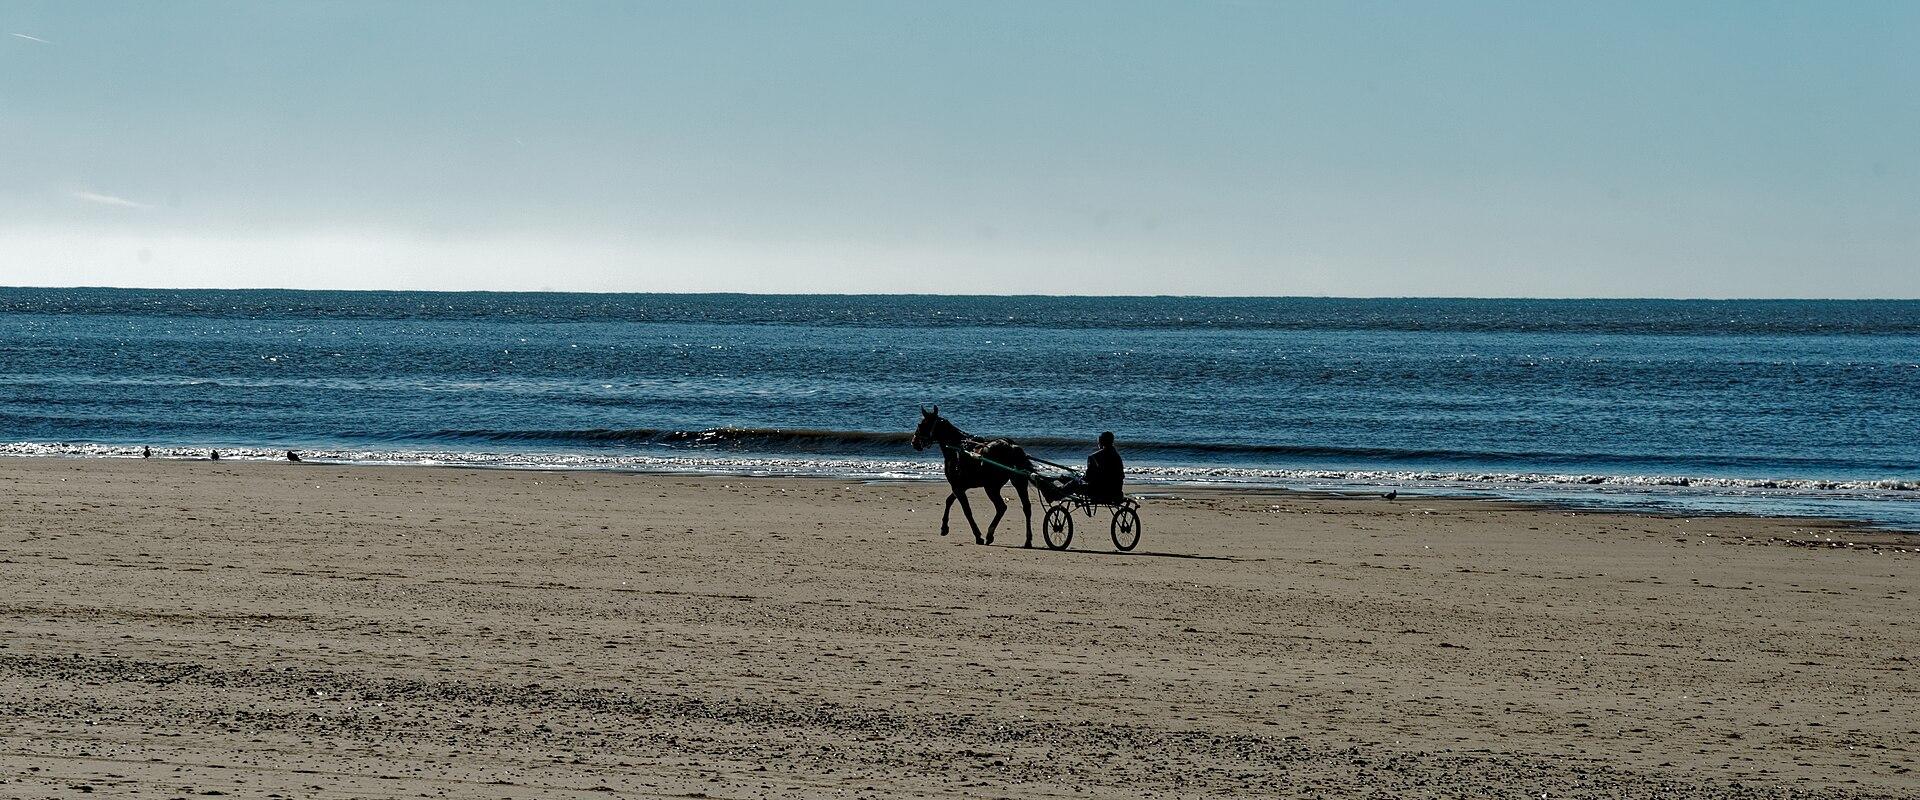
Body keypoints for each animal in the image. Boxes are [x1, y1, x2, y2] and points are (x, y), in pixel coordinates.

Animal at [910, 406, 1036, 547]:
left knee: (1001, 507)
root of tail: (1011, 446)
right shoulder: (960, 486)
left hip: (991, 487)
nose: (914, 442)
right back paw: (1027, 540)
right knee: (1026, 508)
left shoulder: (958, 487)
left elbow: (967, 511)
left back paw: (990, 534)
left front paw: (978, 536)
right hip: (1017, 482)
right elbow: (949, 501)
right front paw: (944, 527)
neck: (957, 448)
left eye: (921, 424)